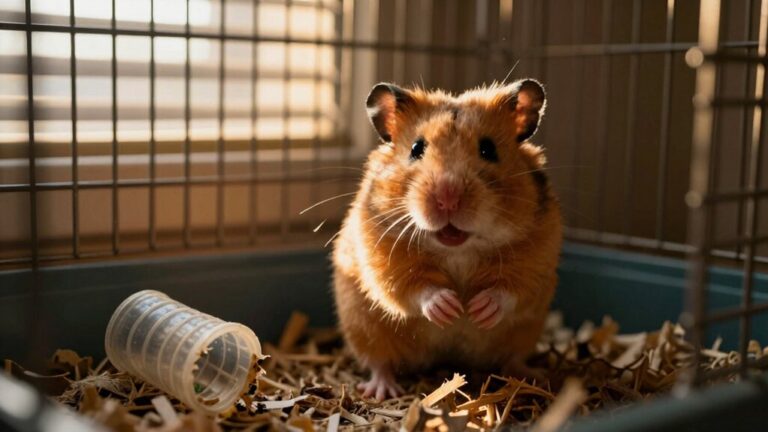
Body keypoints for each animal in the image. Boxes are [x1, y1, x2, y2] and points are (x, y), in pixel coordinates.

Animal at [332, 79, 562, 400]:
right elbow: (413, 288)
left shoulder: (537, 257)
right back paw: (382, 390)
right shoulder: (383, 256)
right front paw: (450, 309)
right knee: (379, 362)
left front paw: (478, 310)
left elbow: (510, 290)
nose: (448, 196)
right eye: (416, 148)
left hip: (525, 333)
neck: (458, 250)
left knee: (513, 359)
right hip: (364, 328)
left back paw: (533, 376)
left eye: (488, 149)